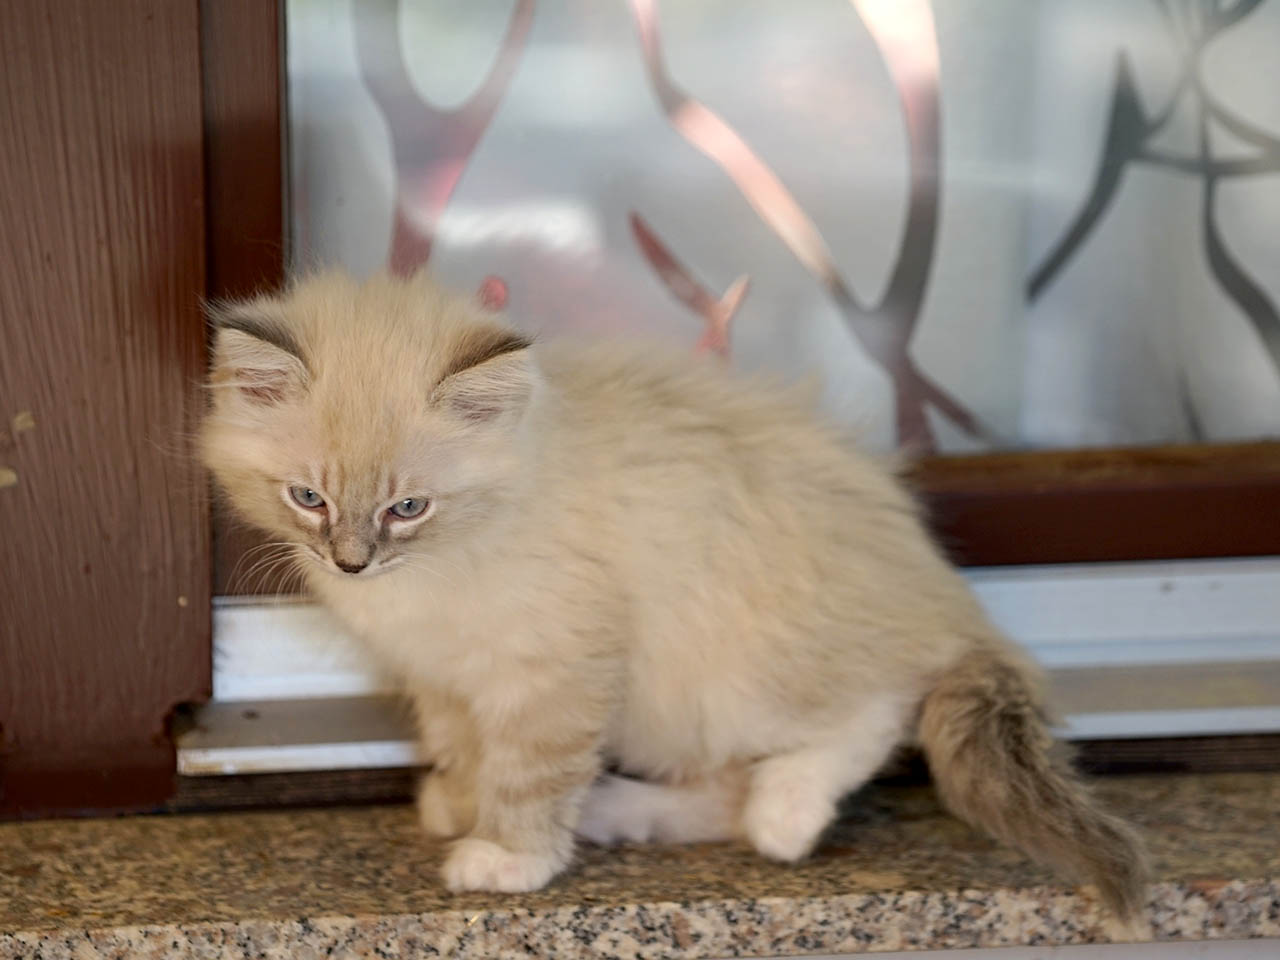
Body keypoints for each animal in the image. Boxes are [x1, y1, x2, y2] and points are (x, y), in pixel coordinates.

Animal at [200, 269, 1147, 922]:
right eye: (308, 499)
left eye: (407, 508)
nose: (351, 565)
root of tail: (948, 600)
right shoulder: (446, 676)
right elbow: (467, 751)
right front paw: (461, 804)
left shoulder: (552, 669)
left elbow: (528, 773)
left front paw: (507, 856)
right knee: (725, 791)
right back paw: (624, 813)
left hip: (728, 675)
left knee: (870, 717)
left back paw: (784, 814)